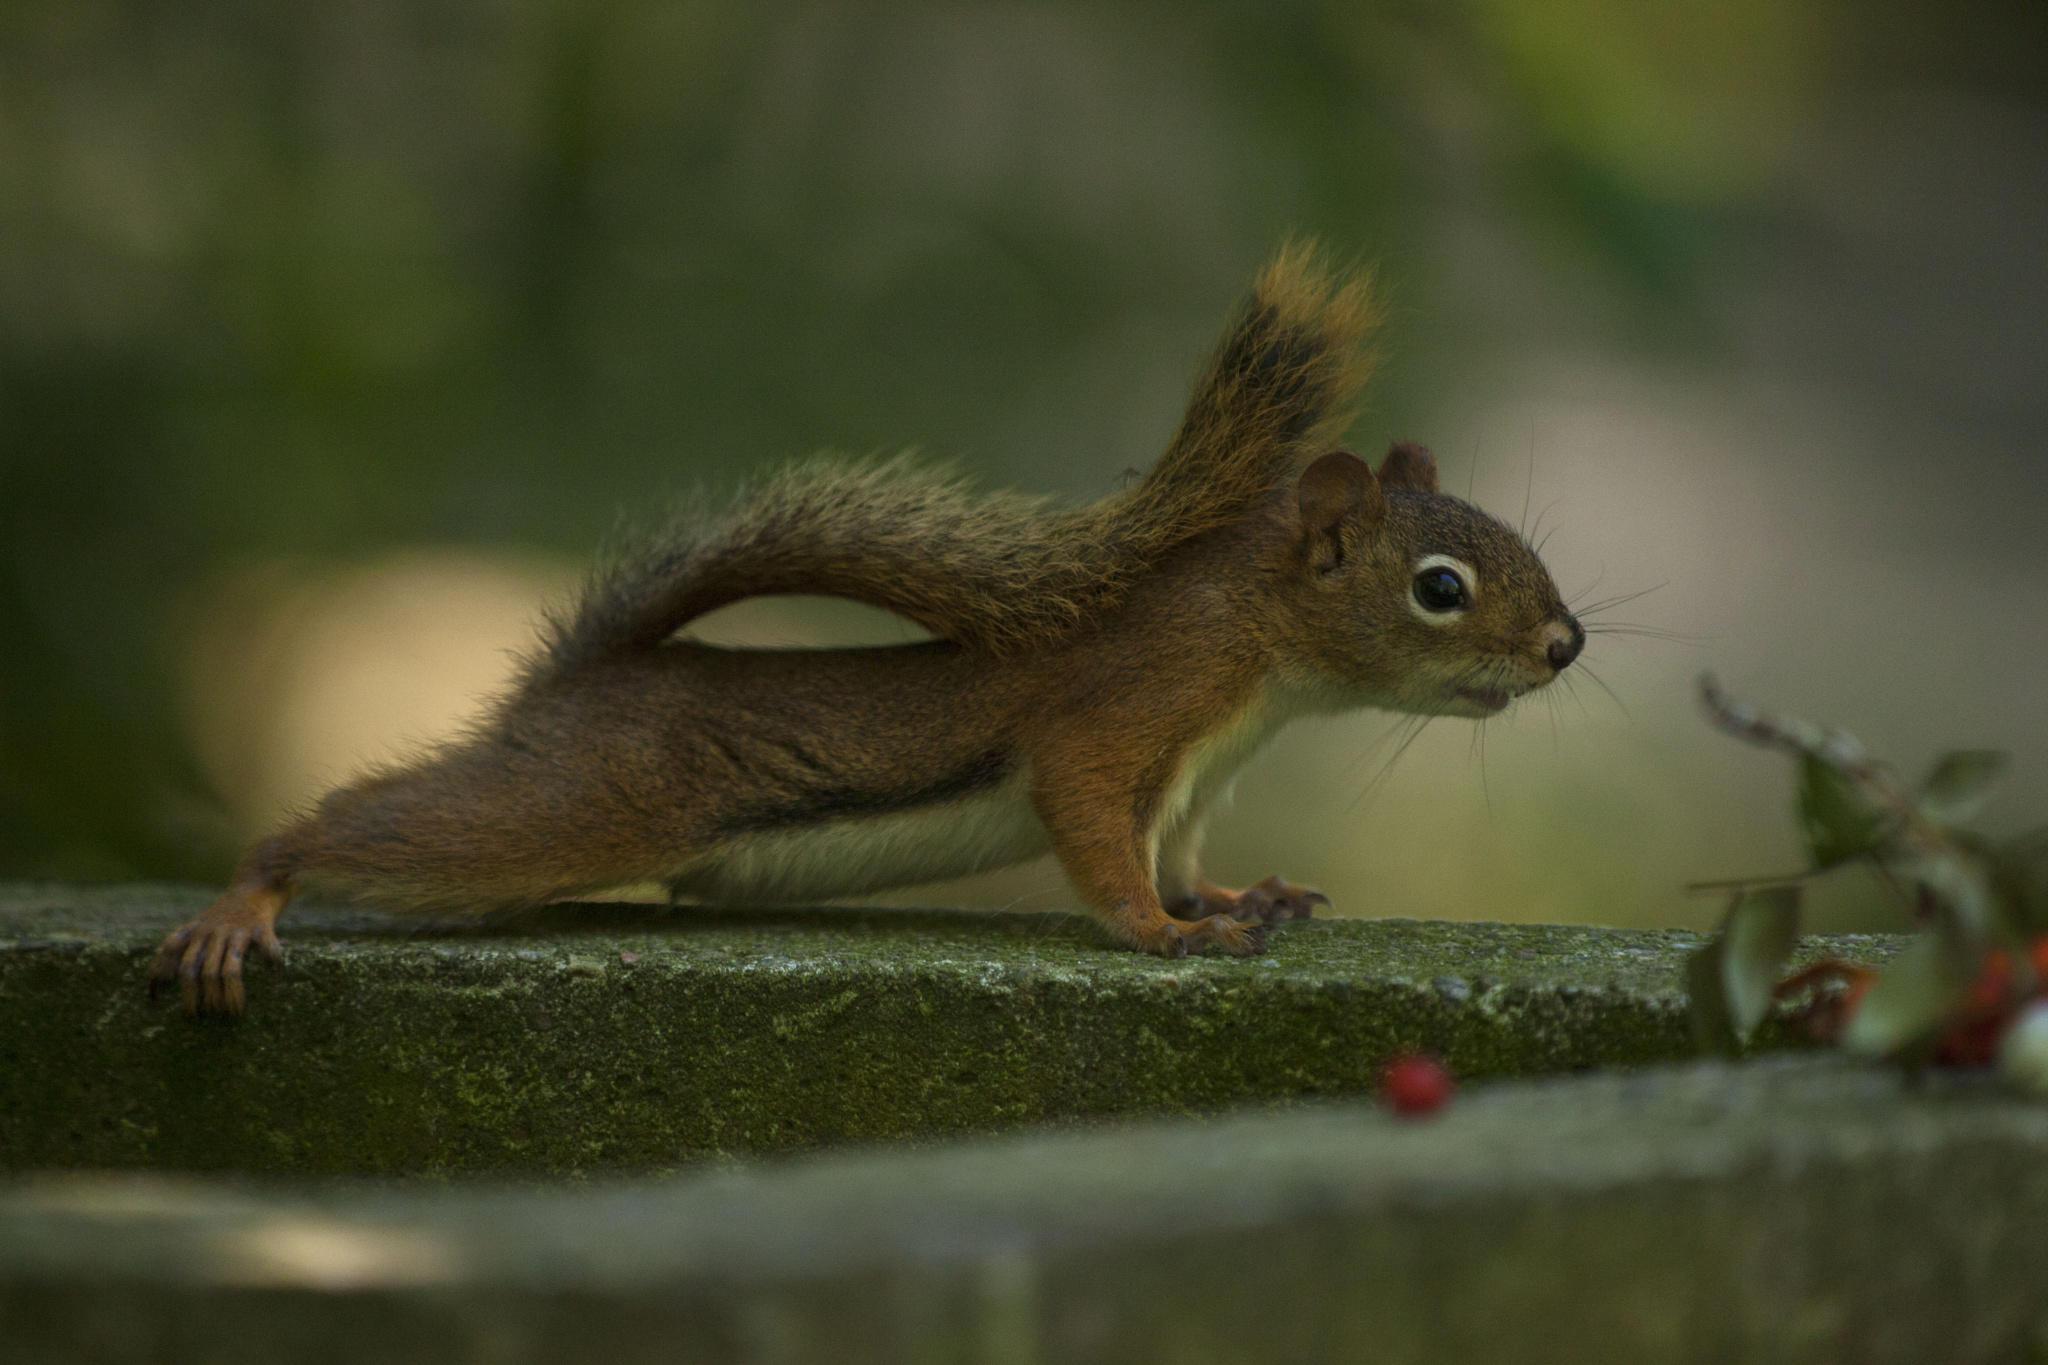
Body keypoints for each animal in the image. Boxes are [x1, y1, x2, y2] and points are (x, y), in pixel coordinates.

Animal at [151, 245, 1581, 1015]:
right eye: (1439, 587)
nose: (1565, 645)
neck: (1263, 666)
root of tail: (573, 679)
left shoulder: (1186, 787)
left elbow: (1175, 853)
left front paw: (1239, 896)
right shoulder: (1126, 711)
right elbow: (1095, 835)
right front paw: (1163, 933)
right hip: (577, 803)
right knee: (388, 827)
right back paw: (248, 895)